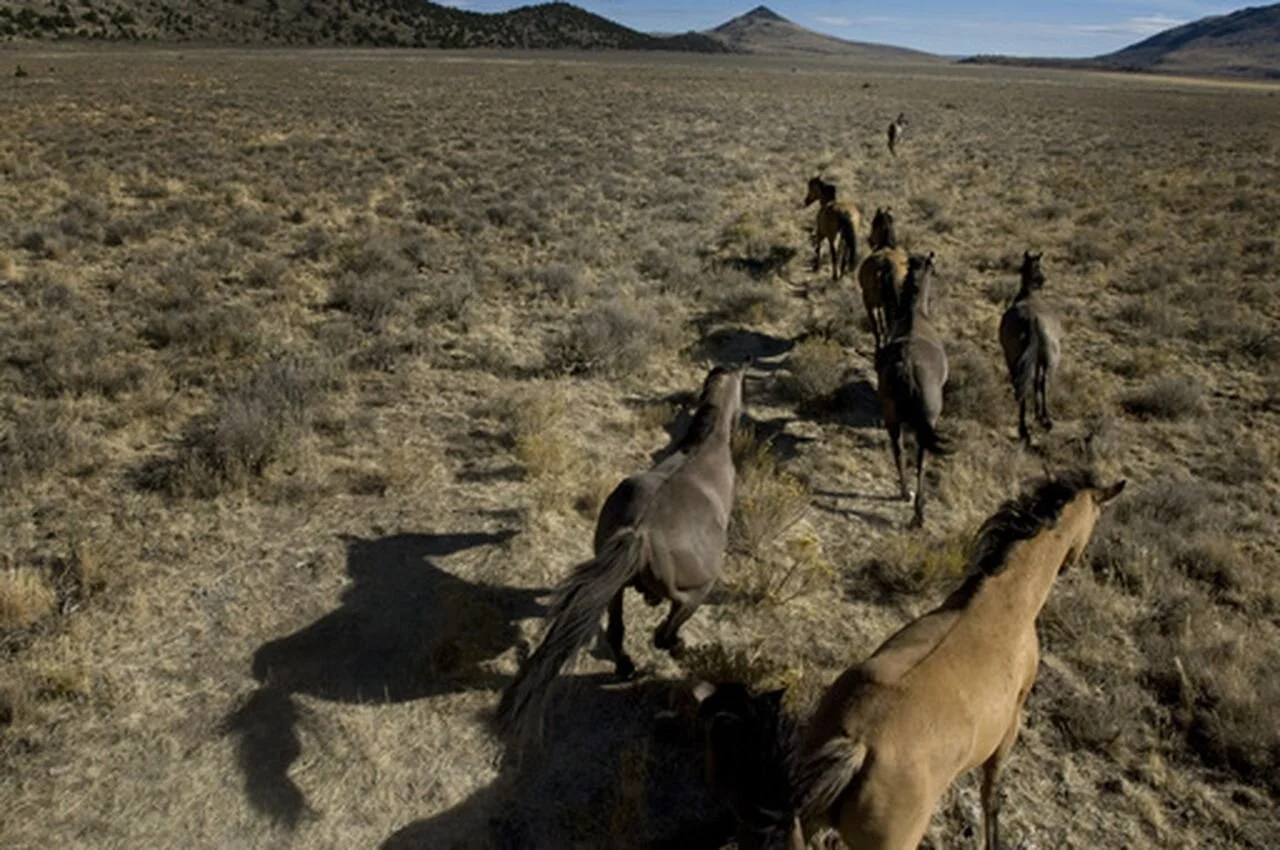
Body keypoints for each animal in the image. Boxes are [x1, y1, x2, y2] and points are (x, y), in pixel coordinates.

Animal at [496, 364, 747, 750]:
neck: (705, 447)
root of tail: (642, 531)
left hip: (613, 590)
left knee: (617, 632)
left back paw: (626, 666)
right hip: (696, 593)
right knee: (662, 634)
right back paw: (674, 648)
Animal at [795, 470, 1125, 850]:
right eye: (1098, 516)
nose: (1076, 562)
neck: (1006, 602)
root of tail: (859, 745)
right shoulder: (1010, 725)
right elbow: (991, 794)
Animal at [857, 207, 910, 351]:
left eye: (874, 223)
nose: (870, 240)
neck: (886, 246)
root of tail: (887, 264)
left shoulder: (872, 303)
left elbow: (878, 326)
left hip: (873, 301)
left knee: (883, 325)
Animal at [875, 252, 950, 527]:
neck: (916, 315)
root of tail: (906, 362)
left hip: (891, 416)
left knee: (897, 449)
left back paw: (904, 492)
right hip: (926, 420)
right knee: (921, 458)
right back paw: (918, 512)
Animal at [999, 251, 1062, 446]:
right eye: (1040, 265)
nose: (1043, 280)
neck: (1029, 296)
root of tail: (1032, 320)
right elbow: (1038, 384)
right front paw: (1039, 416)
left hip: (1014, 359)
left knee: (1023, 386)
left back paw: (1024, 430)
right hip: (1050, 361)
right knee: (1043, 382)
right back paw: (1046, 420)